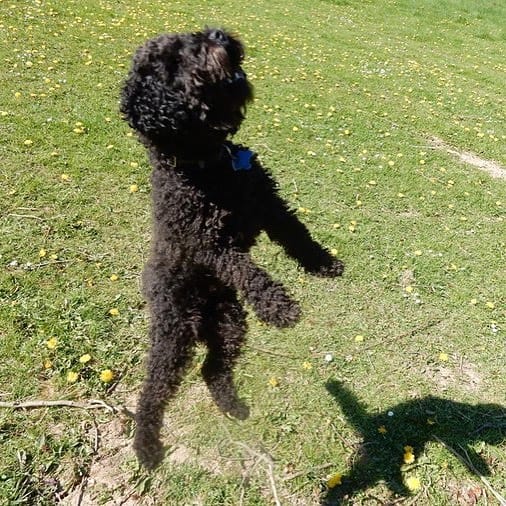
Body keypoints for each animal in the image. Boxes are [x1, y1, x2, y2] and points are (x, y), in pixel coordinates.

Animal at [120, 27, 344, 468]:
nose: (218, 35)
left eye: (189, 37)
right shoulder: (209, 243)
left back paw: (231, 406)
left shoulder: (268, 204)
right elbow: (249, 271)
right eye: (174, 60)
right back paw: (145, 445)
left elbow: (298, 235)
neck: (209, 163)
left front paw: (323, 263)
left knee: (213, 369)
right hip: (175, 330)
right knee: (154, 388)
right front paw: (278, 307)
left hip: (229, 323)